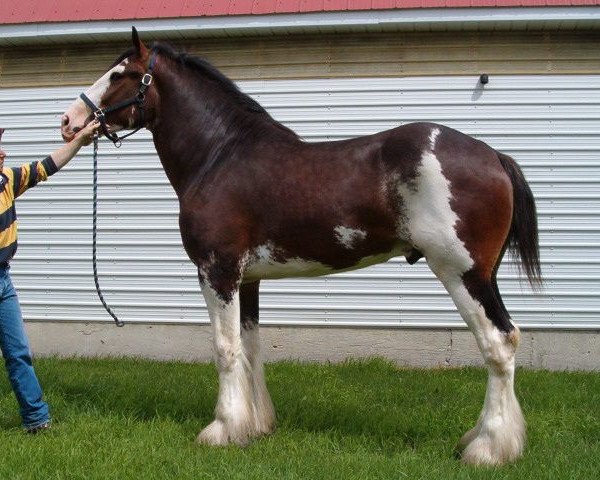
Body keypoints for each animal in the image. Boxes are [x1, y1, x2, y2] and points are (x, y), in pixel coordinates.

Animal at [62, 28, 544, 466]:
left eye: (120, 74)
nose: (68, 121)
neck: (220, 156)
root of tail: (493, 156)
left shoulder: (218, 271)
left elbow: (224, 348)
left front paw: (221, 430)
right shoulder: (248, 279)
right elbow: (250, 346)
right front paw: (254, 426)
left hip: (462, 272)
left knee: (499, 343)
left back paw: (487, 449)